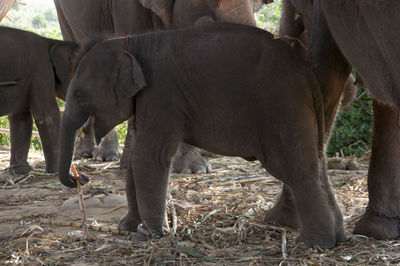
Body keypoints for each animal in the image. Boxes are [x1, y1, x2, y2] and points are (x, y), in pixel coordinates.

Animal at [0, 26, 77, 175]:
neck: (52, 42)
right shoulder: (40, 71)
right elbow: (48, 116)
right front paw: (56, 172)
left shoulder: (26, 80)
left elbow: (21, 118)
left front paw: (20, 171)